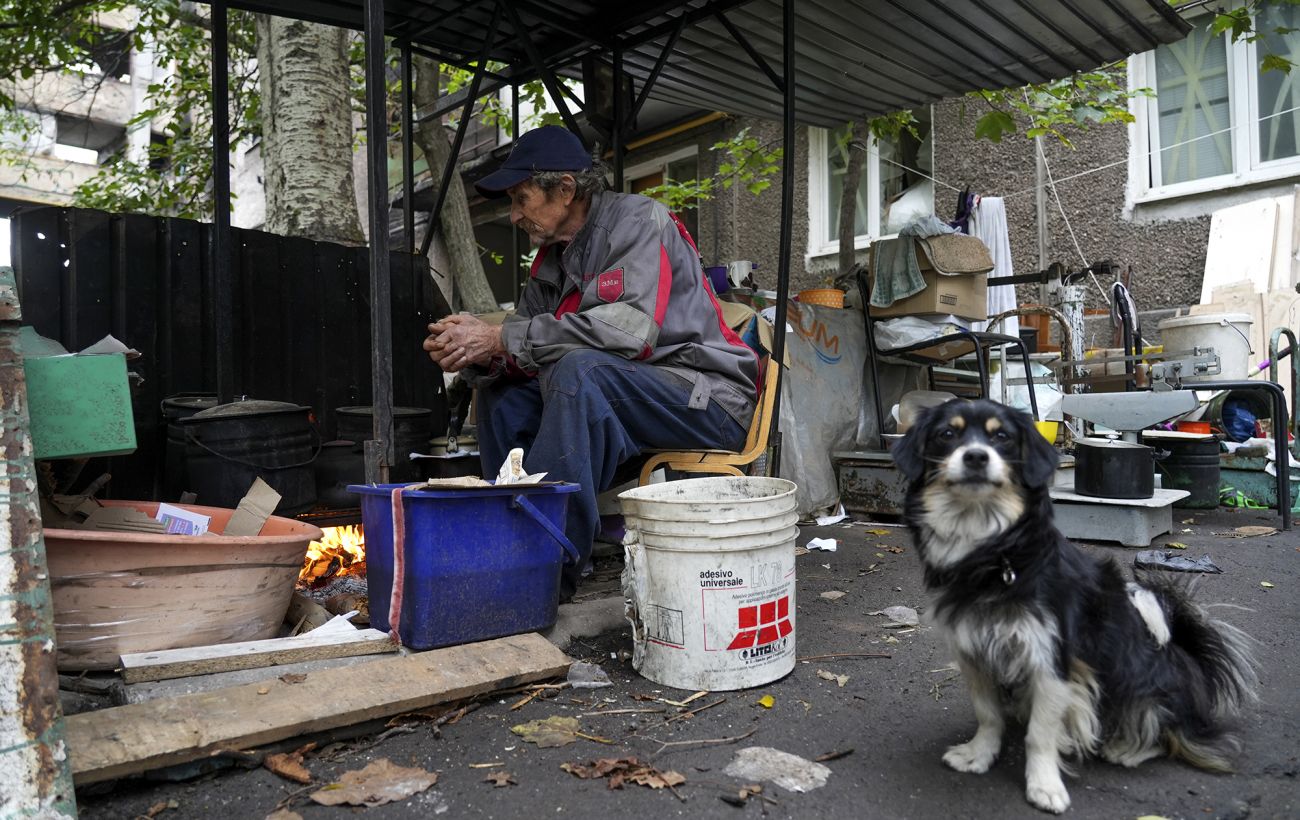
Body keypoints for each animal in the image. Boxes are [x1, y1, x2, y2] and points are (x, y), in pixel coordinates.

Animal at [894, 400, 1258, 816]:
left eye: (1001, 436)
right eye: (946, 435)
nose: (975, 457)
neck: (994, 555)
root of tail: (1187, 661)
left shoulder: (1052, 659)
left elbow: (1039, 735)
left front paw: (1044, 785)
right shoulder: (974, 652)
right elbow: (988, 715)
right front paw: (979, 755)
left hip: (1137, 675)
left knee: (1164, 731)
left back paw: (1126, 748)